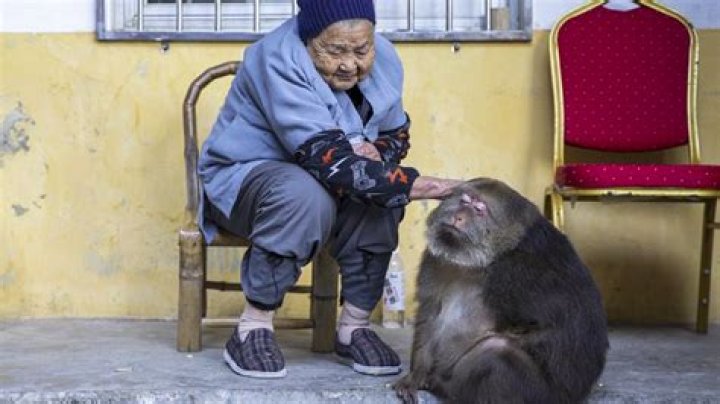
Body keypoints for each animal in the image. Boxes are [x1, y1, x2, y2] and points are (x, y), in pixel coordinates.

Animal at [394, 178, 608, 404]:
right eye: (465, 201)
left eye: (480, 210)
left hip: (544, 395)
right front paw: (417, 375)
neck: (483, 261)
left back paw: (445, 388)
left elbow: (550, 328)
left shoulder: (517, 272)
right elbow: (430, 311)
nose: (458, 217)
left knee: (497, 353)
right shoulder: (435, 260)